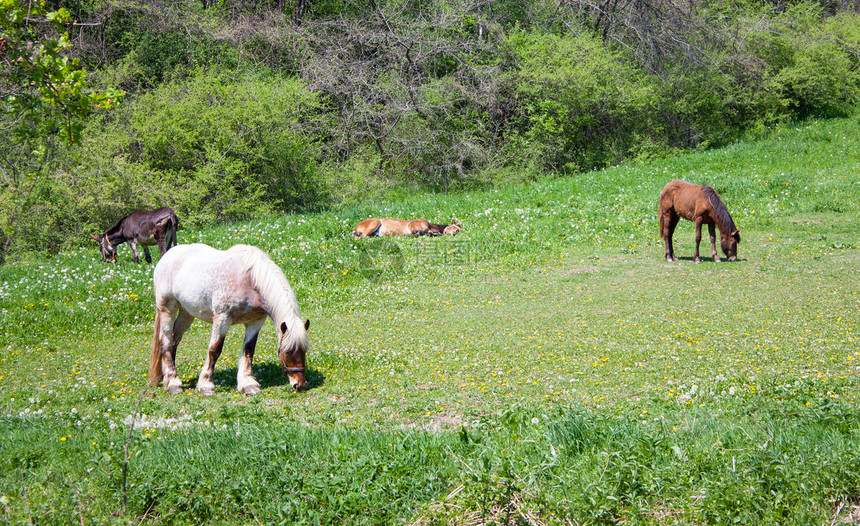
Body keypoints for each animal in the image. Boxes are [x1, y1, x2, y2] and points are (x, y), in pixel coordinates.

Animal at [149, 245, 310, 398]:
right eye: (287, 352)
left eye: (304, 350)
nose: (300, 384)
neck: (250, 281)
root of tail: (167, 256)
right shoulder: (222, 318)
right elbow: (214, 350)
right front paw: (206, 385)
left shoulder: (255, 321)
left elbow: (248, 350)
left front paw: (248, 384)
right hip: (167, 308)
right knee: (165, 340)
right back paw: (173, 383)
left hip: (186, 313)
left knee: (175, 339)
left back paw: (167, 378)